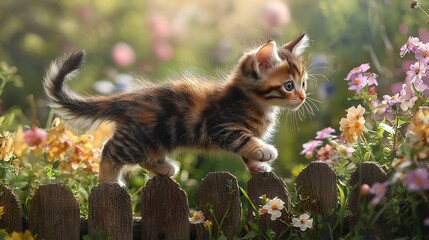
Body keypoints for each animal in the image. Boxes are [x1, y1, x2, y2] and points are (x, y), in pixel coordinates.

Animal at [43, 33, 310, 184]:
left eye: (304, 83)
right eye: (288, 86)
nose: (303, 97)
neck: (256, 103)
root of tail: (126, 98)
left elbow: (246, 151)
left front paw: (258, 165)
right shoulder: (222, 126)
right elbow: (244, 140)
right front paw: (263, 151)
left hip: (154, 140)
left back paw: (163, 167)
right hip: (138, 138)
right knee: (108, 151)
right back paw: (109, 183)